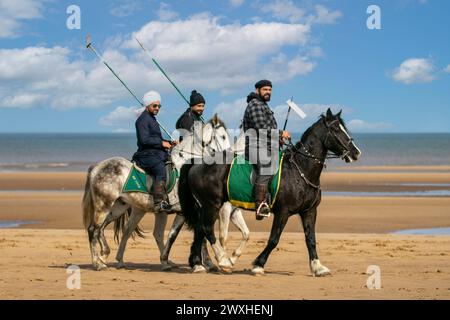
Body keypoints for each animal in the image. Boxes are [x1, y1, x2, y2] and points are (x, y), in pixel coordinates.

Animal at [82, 115, 232, 270]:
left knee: (103, 228)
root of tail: (97, 167)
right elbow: (195, 235)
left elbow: (176, 235)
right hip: (103, 205)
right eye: (223, 136)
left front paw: (169, 261)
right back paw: (98, 263)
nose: (229, 156)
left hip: (118, 207)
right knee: (93, 229)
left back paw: (107, 256)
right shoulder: (188, 211)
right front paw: (203, 264)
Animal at [178, 109, 362, 276]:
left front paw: (318, 267)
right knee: (206, 228)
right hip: (212, 204)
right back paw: (223, 260)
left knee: (199, 230)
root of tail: (197, 162)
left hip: (204, 206)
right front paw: (258, 265)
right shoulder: (283, 212)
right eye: (336, 129)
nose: (356, 152)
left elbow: (311, 239)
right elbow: (274, 239)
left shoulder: (309, 211)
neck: (300, 170)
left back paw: (198, 264)